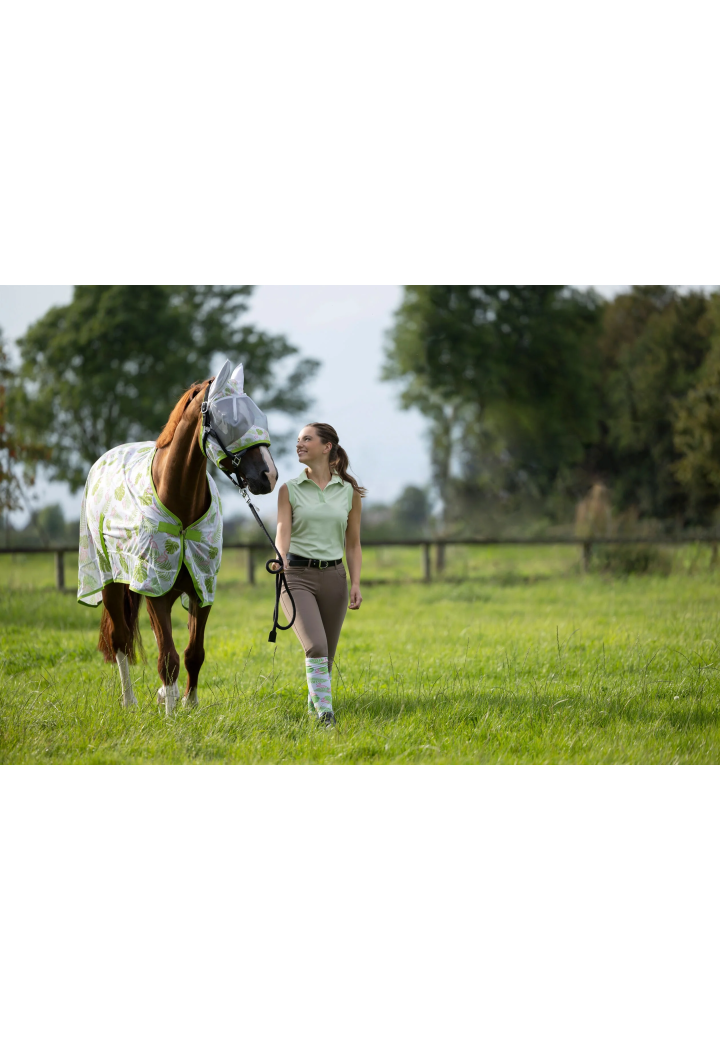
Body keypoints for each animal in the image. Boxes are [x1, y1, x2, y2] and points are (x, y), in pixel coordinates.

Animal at [77, 360, 277, 713]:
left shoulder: (202, 588)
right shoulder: (154, 588)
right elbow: (167, 657)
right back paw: (129, 701)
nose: (269, 475)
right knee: (120, 639)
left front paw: (188, 703)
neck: (180, 506)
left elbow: (193, 653)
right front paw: (171, 713)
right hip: (112, 581)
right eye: (231, 420)